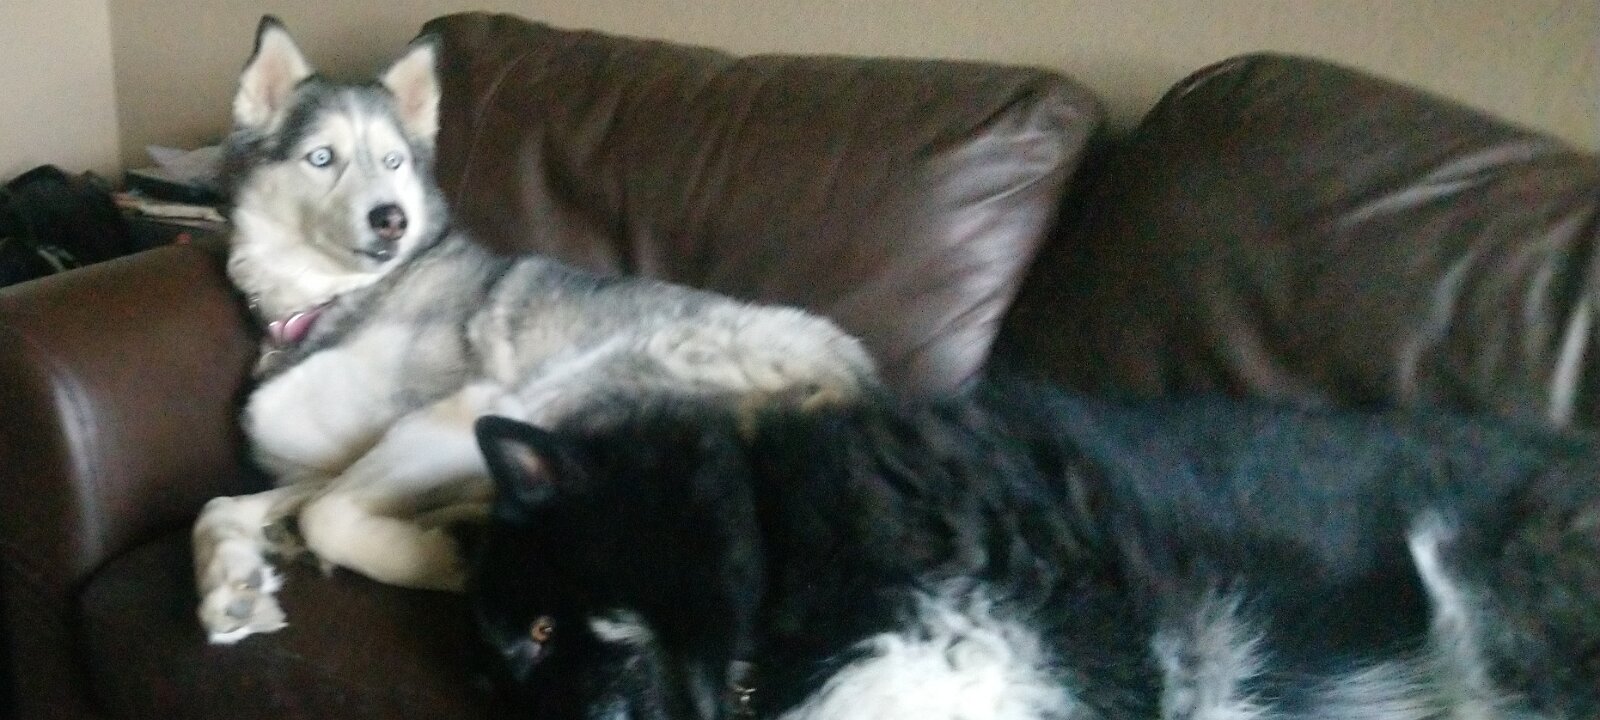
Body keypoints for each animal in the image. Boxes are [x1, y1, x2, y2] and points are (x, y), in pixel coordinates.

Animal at [190, 17, 878, 645]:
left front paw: (436, 558)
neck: (335, 300)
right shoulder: (325, 466)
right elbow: (224, 505)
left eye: (393, 161)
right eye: (322, 158)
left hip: (557, 390)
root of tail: (862, 383)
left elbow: (326, 513)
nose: (392, 218)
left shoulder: (460, 413)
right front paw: (230, 584)